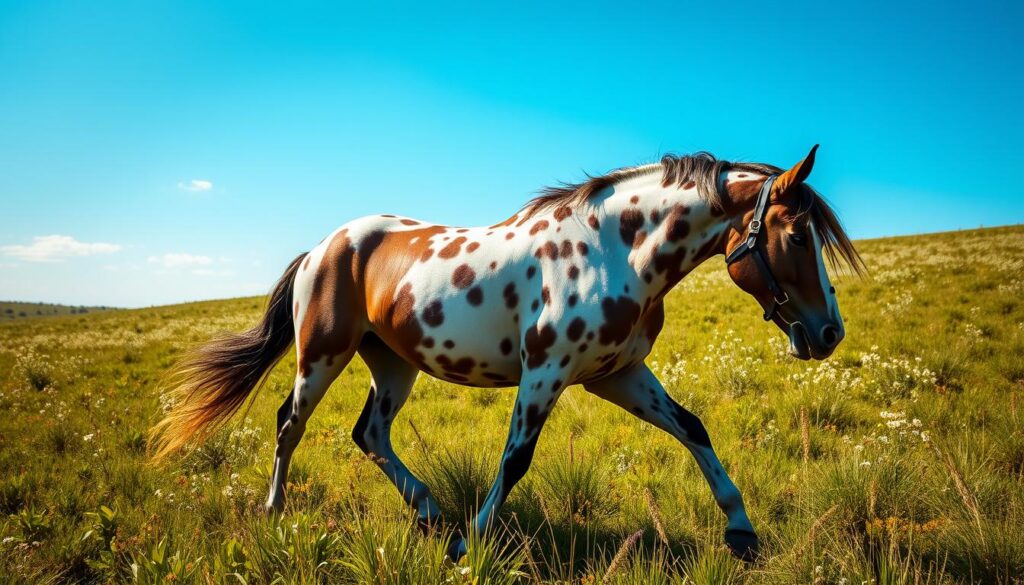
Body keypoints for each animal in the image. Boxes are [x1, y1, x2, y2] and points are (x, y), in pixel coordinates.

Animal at [151, 145, 860, 557]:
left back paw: (429, 511)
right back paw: (275, 511)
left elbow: (693, 427)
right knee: (289, 425)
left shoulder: (618, 374)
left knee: (369, 434)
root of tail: (324, 246)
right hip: (322, 354)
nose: (829, 334)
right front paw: (472, 547)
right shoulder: (544, 374)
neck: (614, 251)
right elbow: (515, 461)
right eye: (797, 233)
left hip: (394, 363)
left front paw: (741, 530)